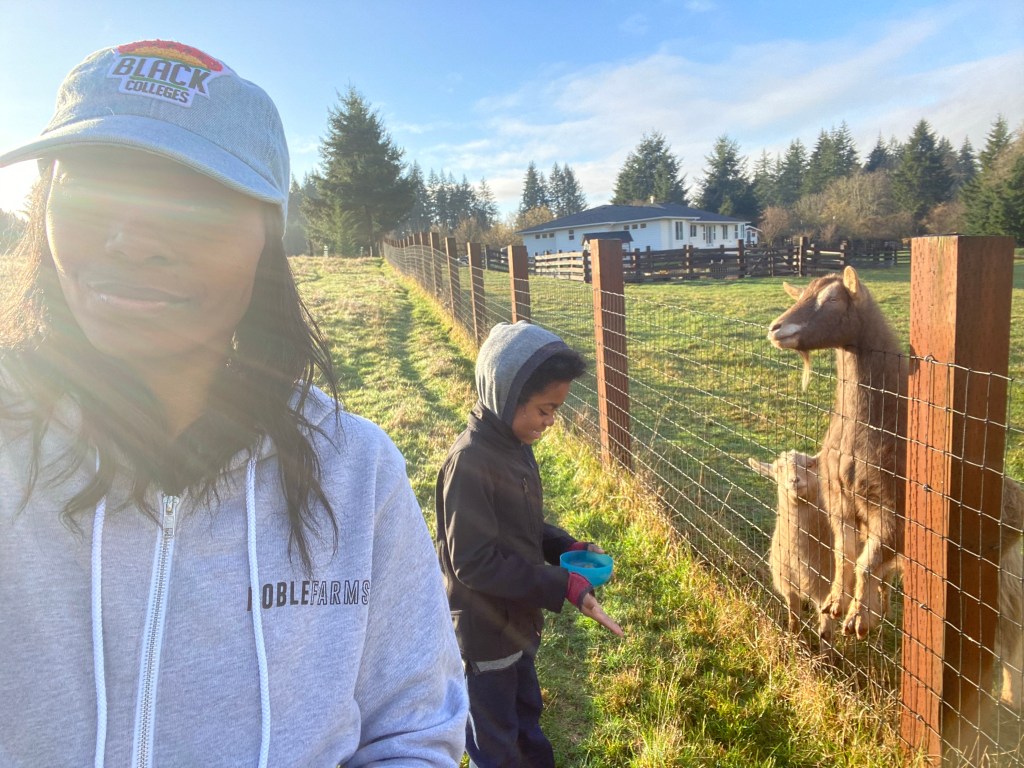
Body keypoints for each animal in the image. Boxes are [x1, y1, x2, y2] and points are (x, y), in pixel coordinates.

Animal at [748, 450, 835, 640]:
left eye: (810, 465)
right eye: (778, 469)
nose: (794, 480)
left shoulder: (827, 592)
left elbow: (825, 633)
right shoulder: (787, 583)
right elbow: (793, 617)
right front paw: (794, 639)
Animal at [768, 266, 907, 638]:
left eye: (831, 299)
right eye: (801, 293)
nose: (776, 328)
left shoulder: (891, 508)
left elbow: (865, 563)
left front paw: (859, 618)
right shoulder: (838, 498)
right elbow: (845, 553)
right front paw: (835, 603)